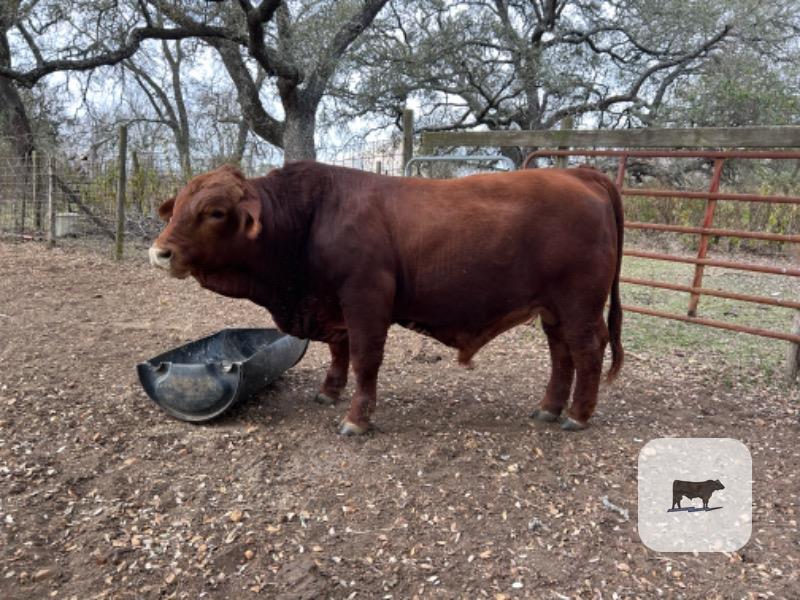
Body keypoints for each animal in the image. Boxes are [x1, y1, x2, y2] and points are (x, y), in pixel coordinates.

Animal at [149, 161, 624, 435]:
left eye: (215, 212)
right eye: (177, 207)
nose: (159, 252)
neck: (311, 217)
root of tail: (579, 173)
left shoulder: (365, 298)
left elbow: (364, 358)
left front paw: (356, 419)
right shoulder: (334, 305)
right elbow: (339, 351)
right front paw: (329, 391)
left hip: (579, 303)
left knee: (587, 350)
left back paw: (577, 415)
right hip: (552, 309)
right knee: (562, 354)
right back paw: (549, 407)